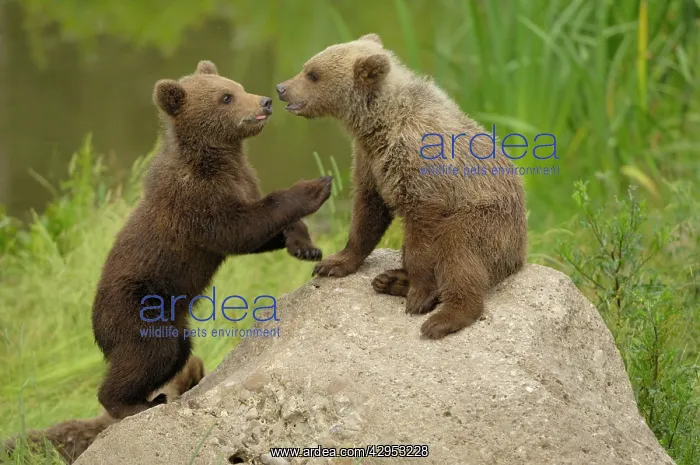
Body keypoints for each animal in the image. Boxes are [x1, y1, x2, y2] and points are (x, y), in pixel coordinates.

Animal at [92, 60, 333, 420]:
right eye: (226, 97)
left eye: (237, 86)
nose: (265, 101)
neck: (217, 159)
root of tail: (98, 330)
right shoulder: (197, 201)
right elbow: (240, 229)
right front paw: (313, 188)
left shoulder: (241, 182)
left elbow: (256, 232)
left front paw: (305, 245)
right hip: (137, 305)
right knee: (151, 350)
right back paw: (130, 403)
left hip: (174, 317)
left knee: (176, 350)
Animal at [276, 34, 527, 339]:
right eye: (307, 67)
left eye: (313, 74)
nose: (281, 88)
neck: (380, 125)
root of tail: (519, 256)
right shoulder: (370, 162)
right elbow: (367, 212)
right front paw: (333, 263)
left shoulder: (422, 167)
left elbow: (423, 230)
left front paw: (419, 296)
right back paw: (391, 280)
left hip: (488, 219)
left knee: (460, 252)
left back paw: (443, 318)